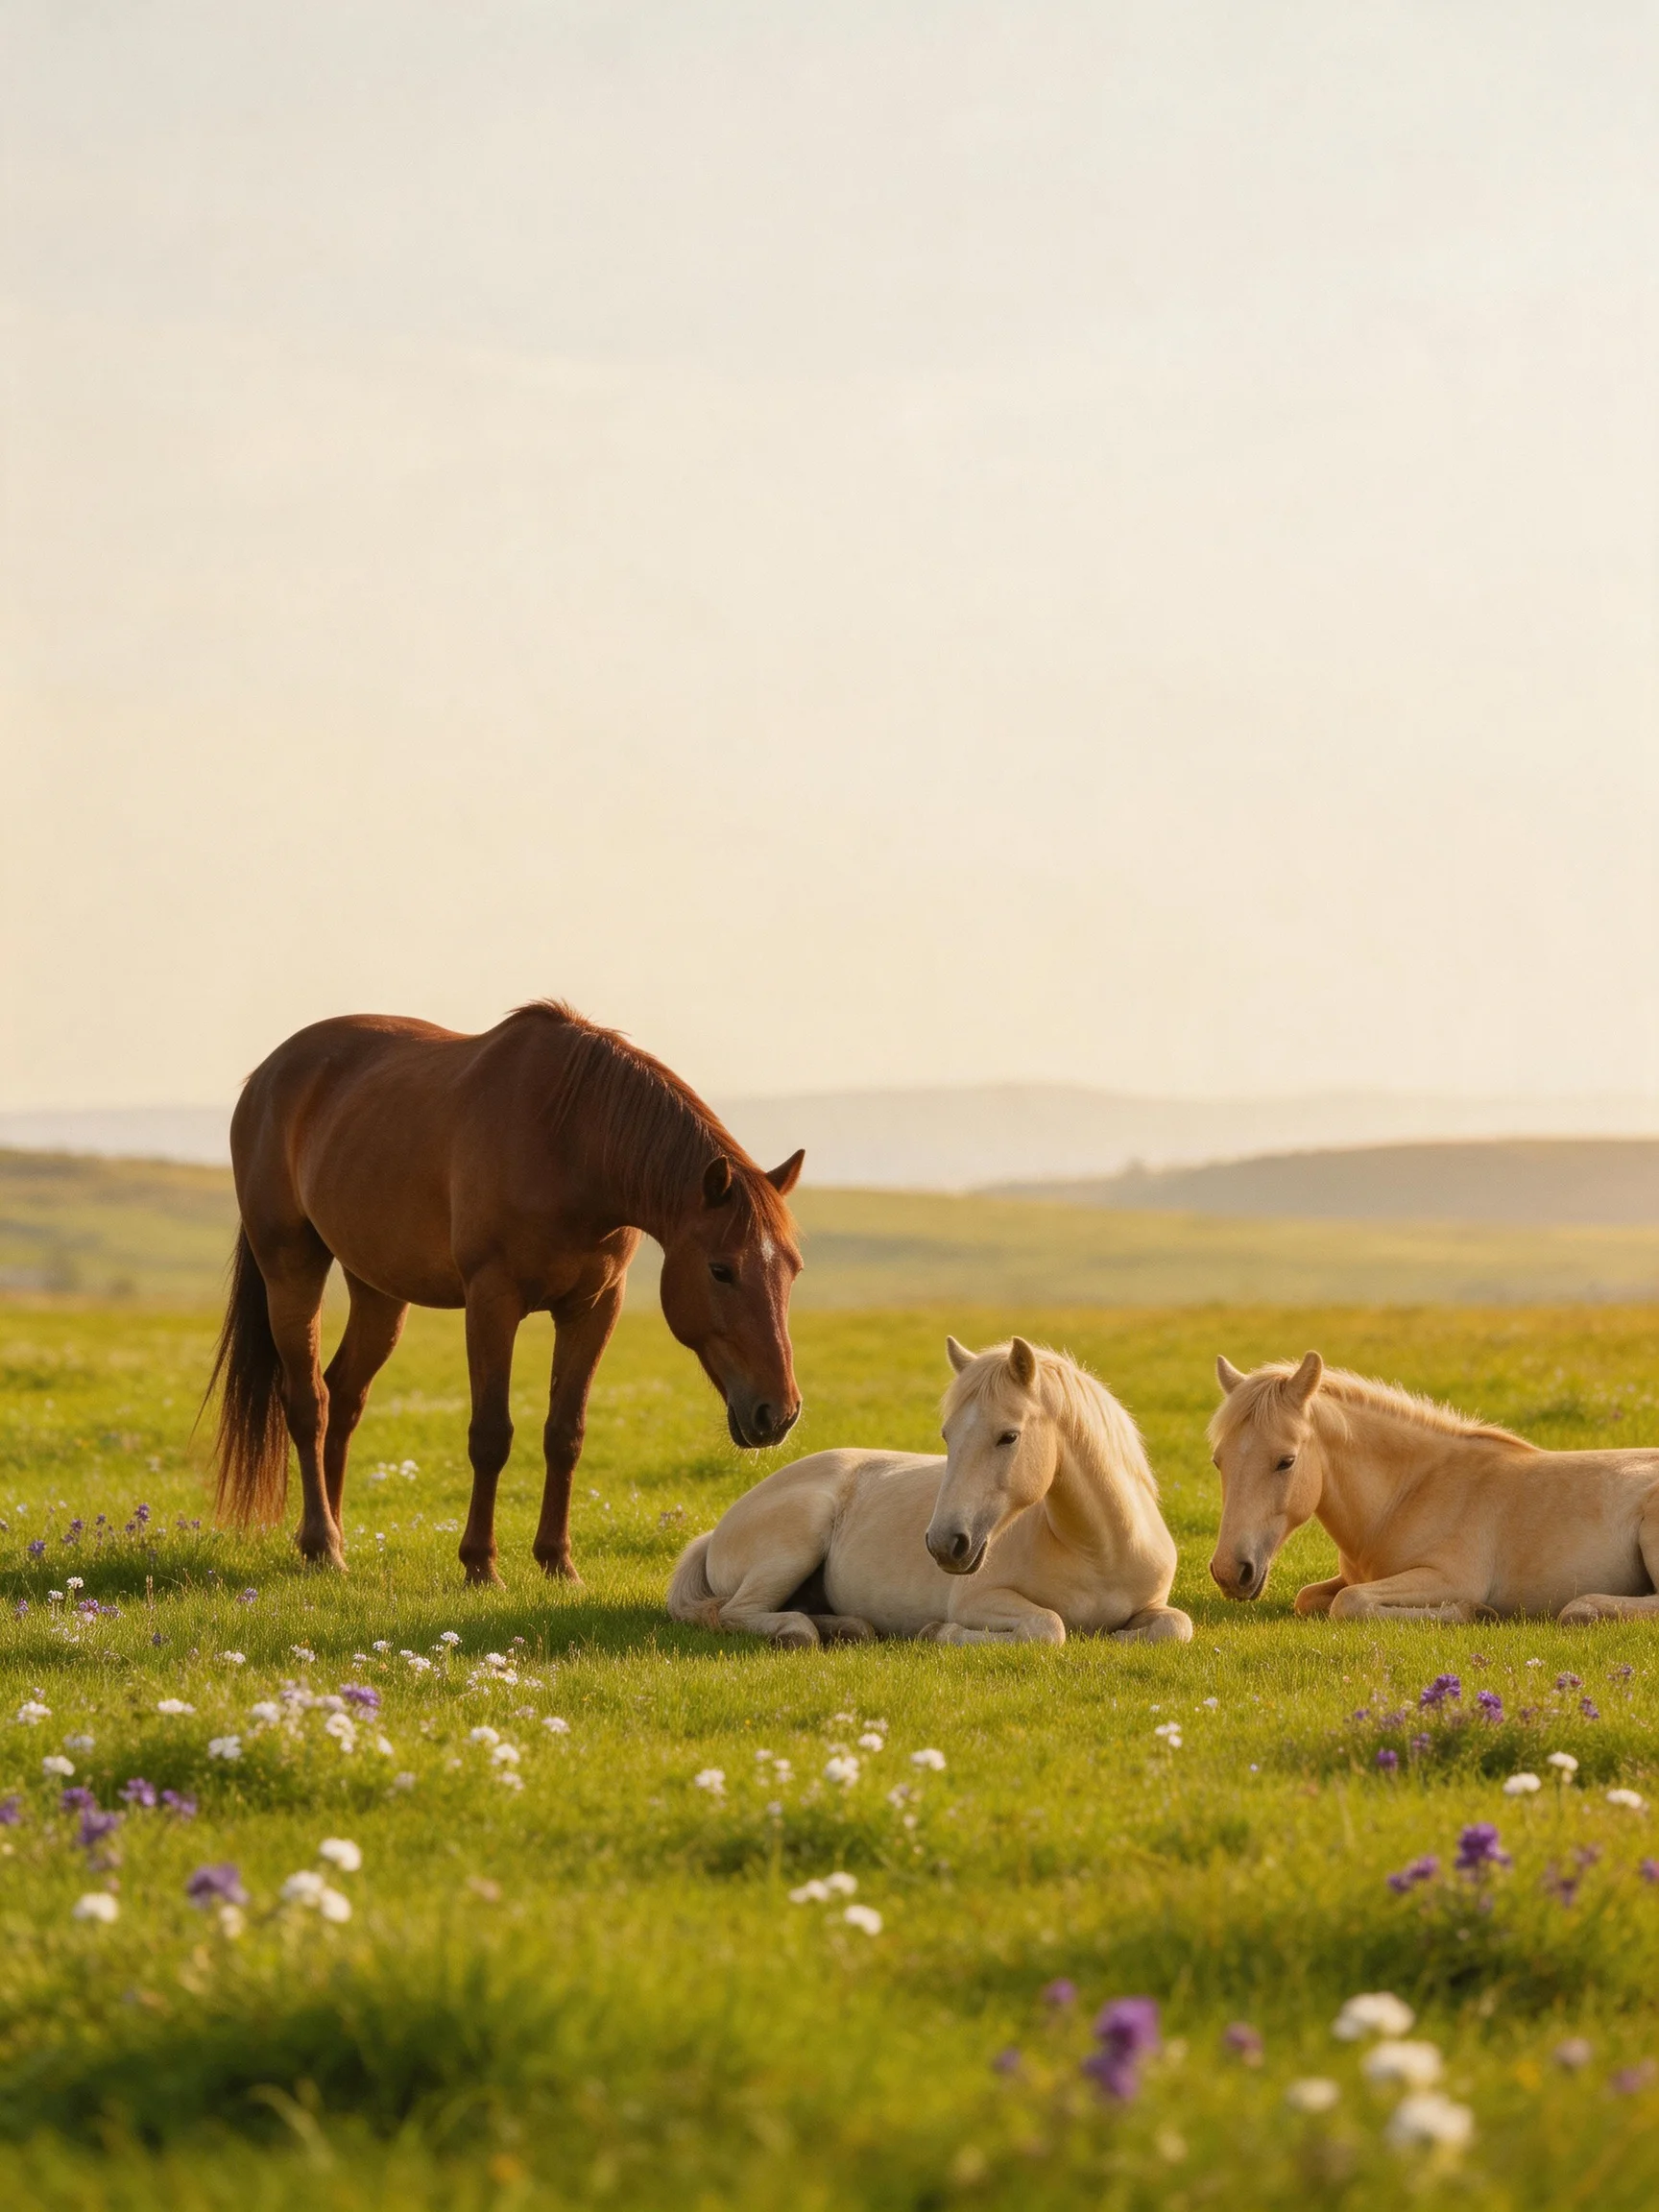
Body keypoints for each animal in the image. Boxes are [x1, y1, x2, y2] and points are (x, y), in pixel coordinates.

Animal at [205, 1001, 804, 1586]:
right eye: (721, 1270)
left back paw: (332, 1539)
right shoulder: (492, 1301)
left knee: (344, 1397)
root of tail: (265, 1077)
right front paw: (480, 1563)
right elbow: (491, 1435)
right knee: (310, 1403)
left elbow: (565, 1434)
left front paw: (558, 1561)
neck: (570, 1140)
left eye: (794, 1269)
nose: (778, 1413)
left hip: (378, 1292)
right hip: (291, 1268)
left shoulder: (594, 1308)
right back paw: (321, 1544)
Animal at [667, 1334, 1193, 1646]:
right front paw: (940, 1631)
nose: (945, 1544)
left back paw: (851, 1629)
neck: (1097, 1551)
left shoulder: (1155, 1607)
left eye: (1008, 1436)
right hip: (794, 1543)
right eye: (947, 1436)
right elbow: (1048, 1627)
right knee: (739, 1612)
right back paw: (800, 1632)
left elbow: (1176, 1625)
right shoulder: (979, 1601)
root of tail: (715, 1532)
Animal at [1208, 1351, 1659, 1625]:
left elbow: (1350, 1602)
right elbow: (1310, 1597)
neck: (1409, 1493)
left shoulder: (1447, 1578)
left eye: (1286, 1461)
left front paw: (1473, 1612)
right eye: (1218, 1461)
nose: (1231, 1571)